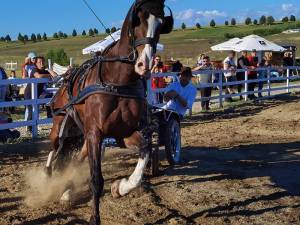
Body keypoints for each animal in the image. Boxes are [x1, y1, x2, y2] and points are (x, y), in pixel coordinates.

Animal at [44, 0, 172, 224]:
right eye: (137, 20)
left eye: (160, 24)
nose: (145, 65)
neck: (117, 81)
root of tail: (67, 76)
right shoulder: (96, 133)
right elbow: (96, 179)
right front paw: (94, 218)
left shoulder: (122, 133)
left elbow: (145, 151)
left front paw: (120, 187)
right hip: (62, 126)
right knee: (55, 148)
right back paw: (49, 174)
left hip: (84, 136)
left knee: (77, 159)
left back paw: (67, 192)